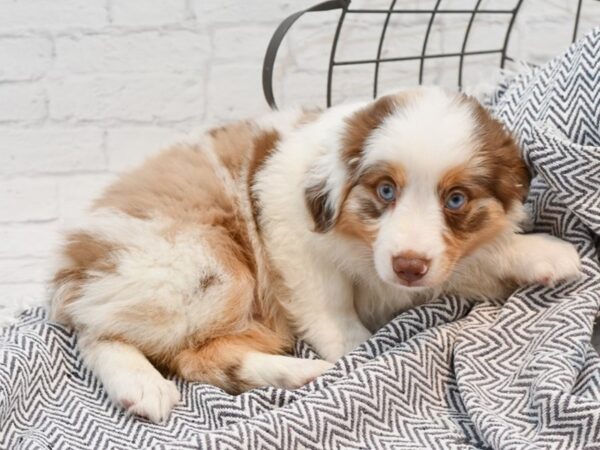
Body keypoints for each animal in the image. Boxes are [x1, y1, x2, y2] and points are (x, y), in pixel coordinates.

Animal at [49, 87, 580, 422]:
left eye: (455, 200)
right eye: (385, 190)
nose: (408, 265)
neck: (360, 246)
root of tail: (72, 261)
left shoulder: (432, 268)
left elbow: (470, 258)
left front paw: (542, 254)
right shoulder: (290, 232)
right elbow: (330, 303)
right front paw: (353, 349)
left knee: (197, 357)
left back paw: (296, 372)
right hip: (203, 268)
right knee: (98, 330)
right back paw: (141, 386)